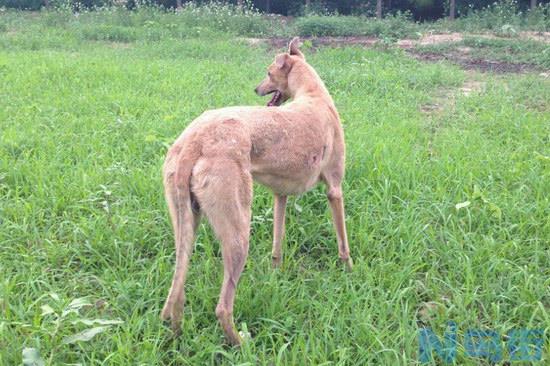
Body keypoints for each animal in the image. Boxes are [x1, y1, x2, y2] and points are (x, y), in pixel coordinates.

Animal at [162, 37, 356, 346]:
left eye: (267, 73)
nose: (256, 89)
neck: (313, 94)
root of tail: (195, 139)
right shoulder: (335, 190)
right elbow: (343, 242)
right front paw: (349, 271)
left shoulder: (281, 195)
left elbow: (277, 242)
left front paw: (276, 273)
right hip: (239, 230)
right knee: (223, 306)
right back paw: (241, 343)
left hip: (186, 225)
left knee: (176, 293)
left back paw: (178, 337)